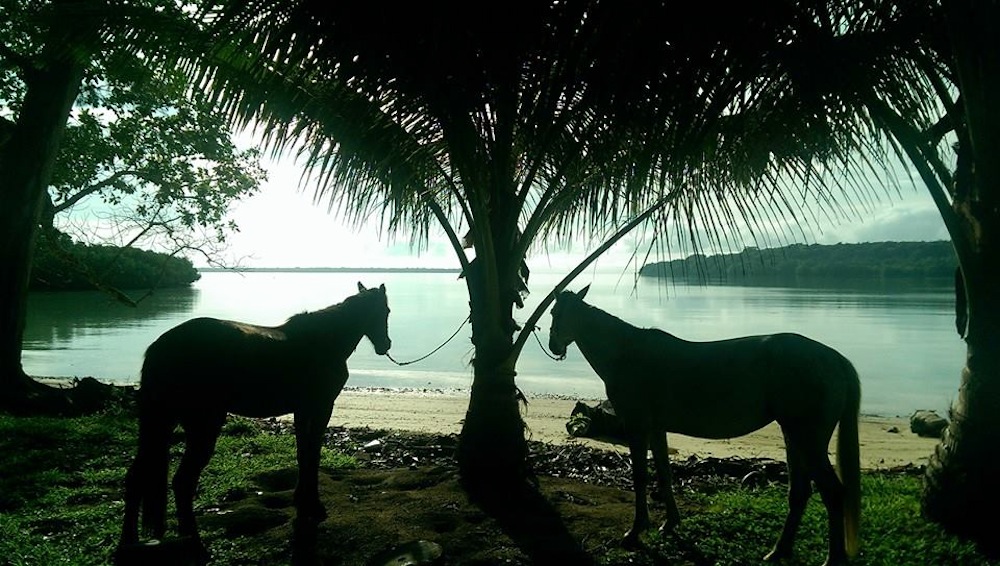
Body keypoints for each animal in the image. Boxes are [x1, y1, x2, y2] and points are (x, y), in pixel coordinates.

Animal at [116, 282, 390, 564]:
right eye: (386, 311)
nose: (385, 344)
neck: (323, 341)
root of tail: (161, 347)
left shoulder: (302, 411)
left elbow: (304, 455)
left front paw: (303, 501)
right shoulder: (320, 408)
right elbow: (312, 455)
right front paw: (313, 505)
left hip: (160, 424)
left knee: (136, 478)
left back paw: (128, 543)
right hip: (202, 426)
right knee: (183, 482)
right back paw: (196, 546)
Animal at [548, 288, 860, 566]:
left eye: (555, 312)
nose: (554, 346)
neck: (626, 351)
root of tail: (837, 360)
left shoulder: (638, 426)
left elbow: (640, 476)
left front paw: (636, 532)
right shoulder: (656, 428)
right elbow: (664, 473)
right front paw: (670, 523)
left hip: (807, 439)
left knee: (833, 493)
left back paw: (833, 559)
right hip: (794, 436)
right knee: (799, 493)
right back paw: (778, 551)